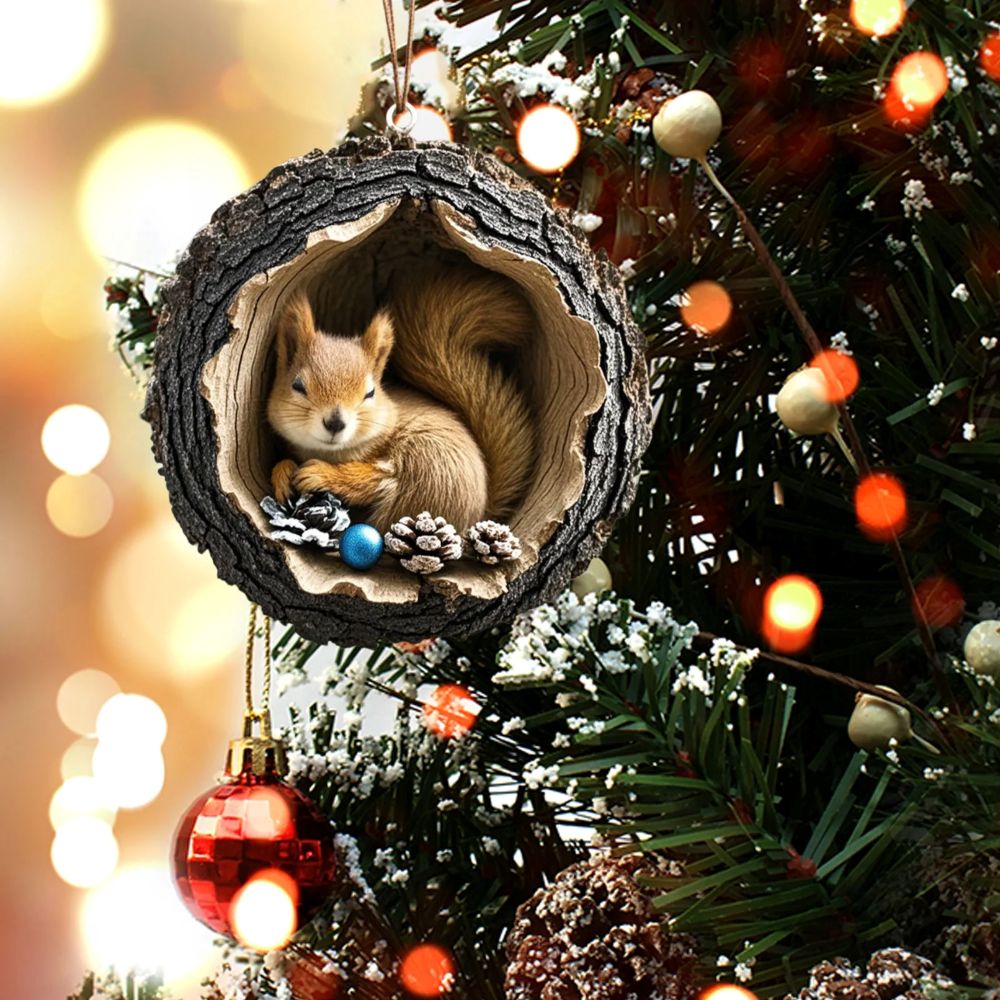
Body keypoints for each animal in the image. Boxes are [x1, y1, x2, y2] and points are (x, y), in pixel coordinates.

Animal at [266, 266, 536, 534]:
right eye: (297, 385)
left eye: (370, 392)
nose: (335, 422)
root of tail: (478, 515)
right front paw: (283, 472)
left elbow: (369, 479)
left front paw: (320, 474)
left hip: (430, 472)